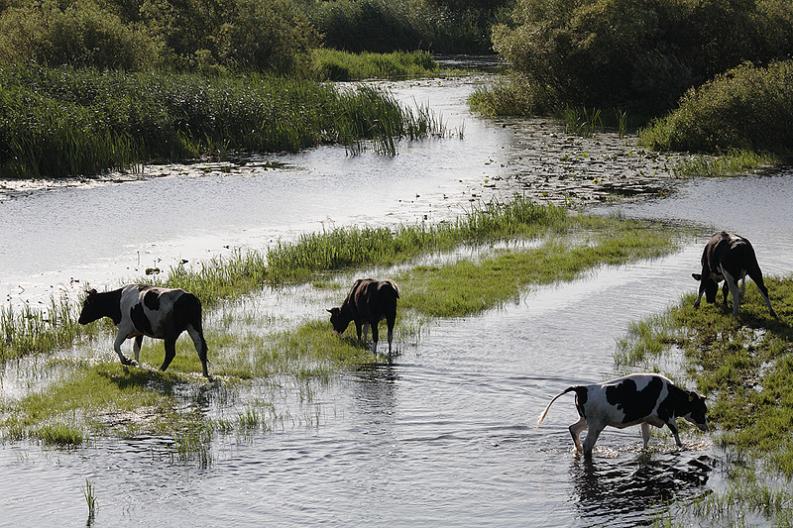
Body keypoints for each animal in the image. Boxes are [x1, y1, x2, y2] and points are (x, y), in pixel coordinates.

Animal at [77, 284, 210, 380]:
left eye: (86, 304)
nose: (79, 320)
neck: (117, 302)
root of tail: (190, 297)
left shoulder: (124, 328)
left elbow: (116, 345)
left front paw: (127, 361)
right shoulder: (139, 331)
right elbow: (136, 349)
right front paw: (139, 366)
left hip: (171, 332)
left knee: (170, 353)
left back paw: (160, 370)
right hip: (195, 326)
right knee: (201, 347)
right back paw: (205, 374)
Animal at [536, 372, 708, 458]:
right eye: (702, 410)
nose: (707, 428)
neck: (671, 394)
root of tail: (582, 388)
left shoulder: (645, 419)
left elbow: (646, 438)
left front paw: (645, 450)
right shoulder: (668, 416)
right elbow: (676, 432)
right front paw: (682, 447)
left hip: (585, 420)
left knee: (573, 429)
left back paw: (576, 448)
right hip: (596, 425)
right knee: (587, 445)